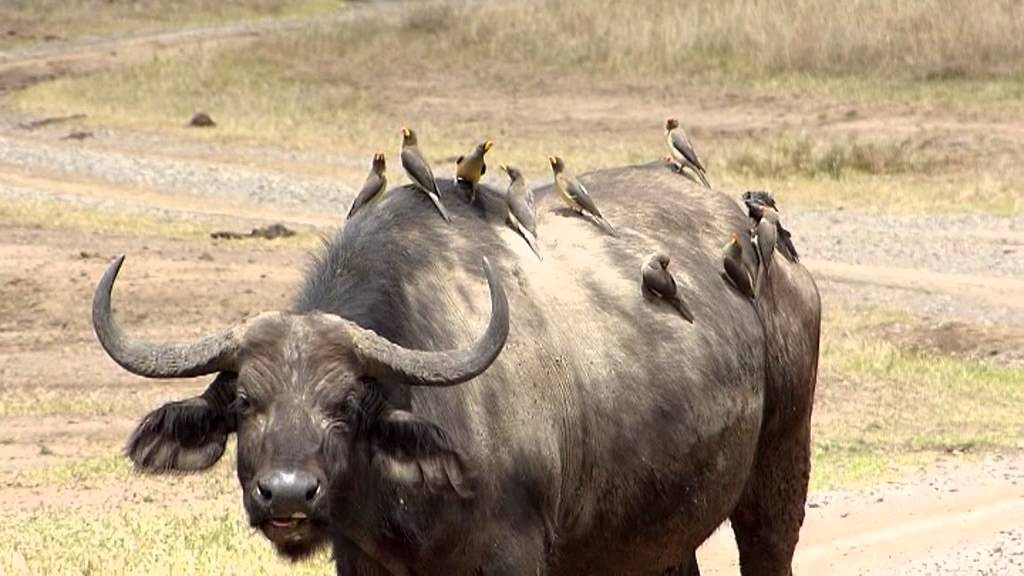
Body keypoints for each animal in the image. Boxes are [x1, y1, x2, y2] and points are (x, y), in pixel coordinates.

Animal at [93, 161, 820, 575]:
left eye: (347, 405)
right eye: (245, 402)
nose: (289, 495)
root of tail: (770, 244)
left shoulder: (512, 556)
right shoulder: (362, 561)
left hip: (781, 467)